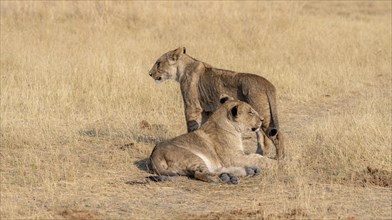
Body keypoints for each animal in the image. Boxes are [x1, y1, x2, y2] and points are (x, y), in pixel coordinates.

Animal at [149, 46, 284, 160]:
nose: (150, 73)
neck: (181, 70)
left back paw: (280, 158)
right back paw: (260, 154)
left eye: (158, 63)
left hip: (263, 113)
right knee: (262, 135)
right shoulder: (206, 110)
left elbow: (191, 126)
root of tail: (268, 84)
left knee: (277, 135)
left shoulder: (192, 107)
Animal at [149, 96, 278, 184]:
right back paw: (231, 177)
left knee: (214, 169)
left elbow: (255, 156)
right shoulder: (233, 157)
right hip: (191, 157)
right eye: (251, 112)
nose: (262, 119)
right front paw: (276, 163)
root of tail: (154, 155)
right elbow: (258, 158)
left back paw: (246, 171)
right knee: (201, 173)